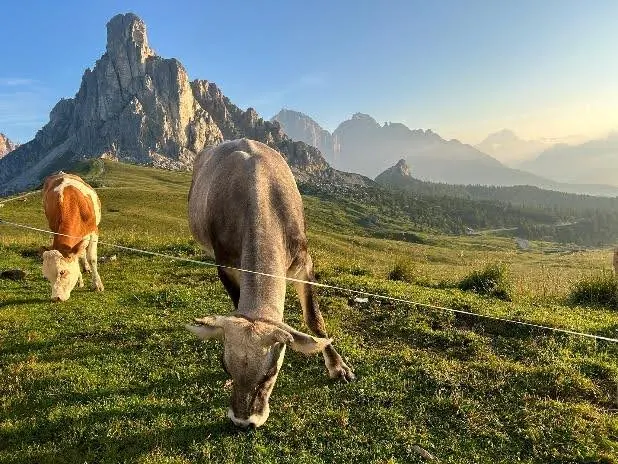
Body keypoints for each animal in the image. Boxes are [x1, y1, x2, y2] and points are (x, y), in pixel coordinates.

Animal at [41, 171, 103, 300]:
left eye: (62, 272)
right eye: (46, 276)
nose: (56, 298)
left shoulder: (94, 231)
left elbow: (92, 258)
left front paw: (97, 285)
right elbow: (77, 257)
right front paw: (80, 280)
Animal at [185, 138, 354, 428]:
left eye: (271, 371)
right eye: (224, 365)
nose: (243, 423)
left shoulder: (303, 262)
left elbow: (314, 319)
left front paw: (338, 366)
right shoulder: (225, 265)